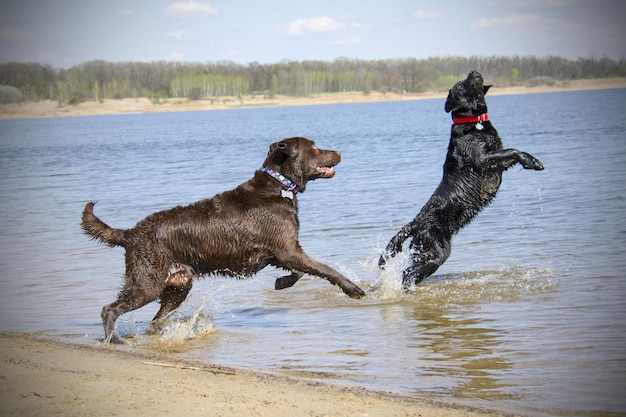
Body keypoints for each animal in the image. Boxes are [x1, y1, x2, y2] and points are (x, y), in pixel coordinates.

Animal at [83, 136, 366, 342]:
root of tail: (130, 233)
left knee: (156, 319)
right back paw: (116, 340)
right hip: (147, 282)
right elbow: (324, 269)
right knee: (110, 309)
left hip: (178, 285)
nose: (339, 151)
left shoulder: (282, 252)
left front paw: (281, 282)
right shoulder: (287, 249)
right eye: (315, 147)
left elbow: (298, 272)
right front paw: (353, 289)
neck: (279, 186)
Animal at [376, 70, 540, 290]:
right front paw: (534, 162)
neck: (474, 124)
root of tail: (416, 222)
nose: (474, 71)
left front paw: (532, 161)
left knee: (410, 273)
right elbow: (512, 150)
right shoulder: (482, 159)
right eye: (461, 85)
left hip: (425, 253)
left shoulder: (498, 162)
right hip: (436, 251)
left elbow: (512, 152)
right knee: (408, 273)